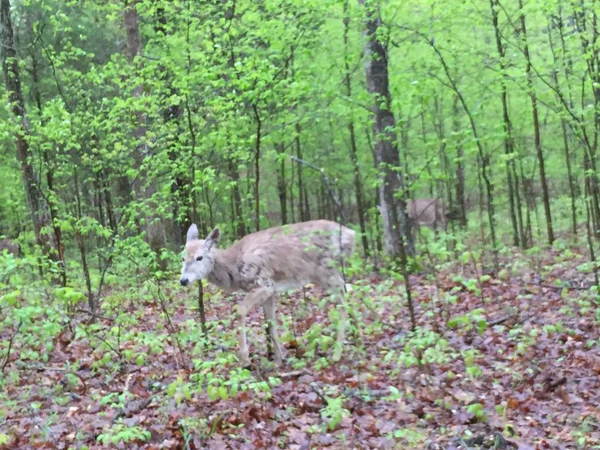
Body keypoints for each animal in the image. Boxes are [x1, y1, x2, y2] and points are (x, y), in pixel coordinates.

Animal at [178, 220, 356, 368]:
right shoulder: (271, 290)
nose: (183, 280)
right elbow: (271, 321)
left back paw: (337, 353)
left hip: (325, 271)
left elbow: (240, 311)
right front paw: (278, 361)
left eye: (199, 257)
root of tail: (351, 234)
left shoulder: (263, 283)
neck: (235, 266)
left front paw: (245, 359)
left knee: (344, 301)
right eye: (183, 258)